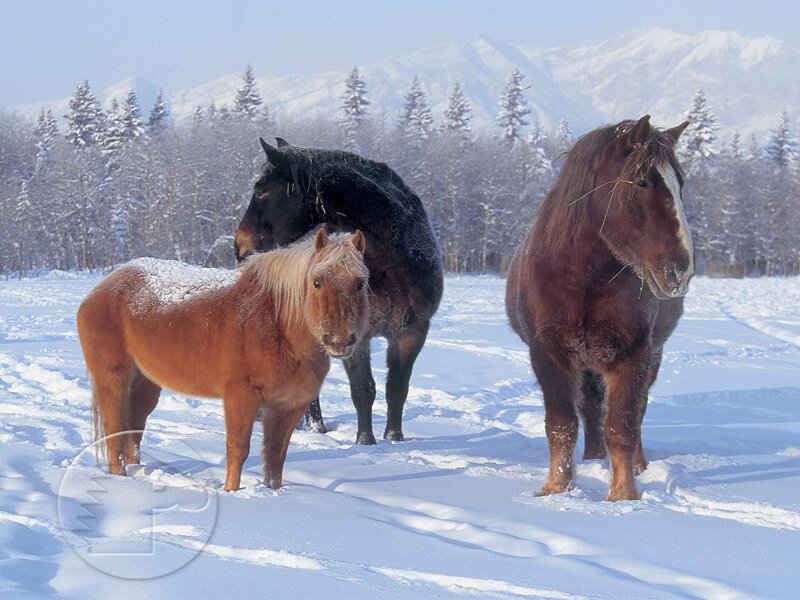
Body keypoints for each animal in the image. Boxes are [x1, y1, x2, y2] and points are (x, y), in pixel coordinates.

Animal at [77, 228, 370, 491]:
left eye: (360, 283)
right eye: (317, 281)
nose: (339, 340)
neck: (276, 322)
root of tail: (101, 288)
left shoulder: (289, 406)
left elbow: (276, 457)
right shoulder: (241, 398)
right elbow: (238, 451)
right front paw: (232, 493)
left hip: (146, 384)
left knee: (134, 428)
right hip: (113, 379)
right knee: (114, 430)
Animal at [235, 138, 443, 445]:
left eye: (260, 191)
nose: (239, 247)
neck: (395, 264)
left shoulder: (413, 332)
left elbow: (397, 389)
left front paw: (394, 439)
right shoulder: (353, 335)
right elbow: (363, 389)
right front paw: (365, 443)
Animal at [505, 115, 693, 501]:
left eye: (679, 183)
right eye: (642, 181)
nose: (681, 270)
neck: (583, 279)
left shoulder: (633, 354)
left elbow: (622, 424)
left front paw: (624, 496)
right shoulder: (548, 354)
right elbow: (561, 425)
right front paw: (556, 489)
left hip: (649, 356)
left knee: (634, 412)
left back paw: (637, 466)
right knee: (591, 411)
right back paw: (593, 460)